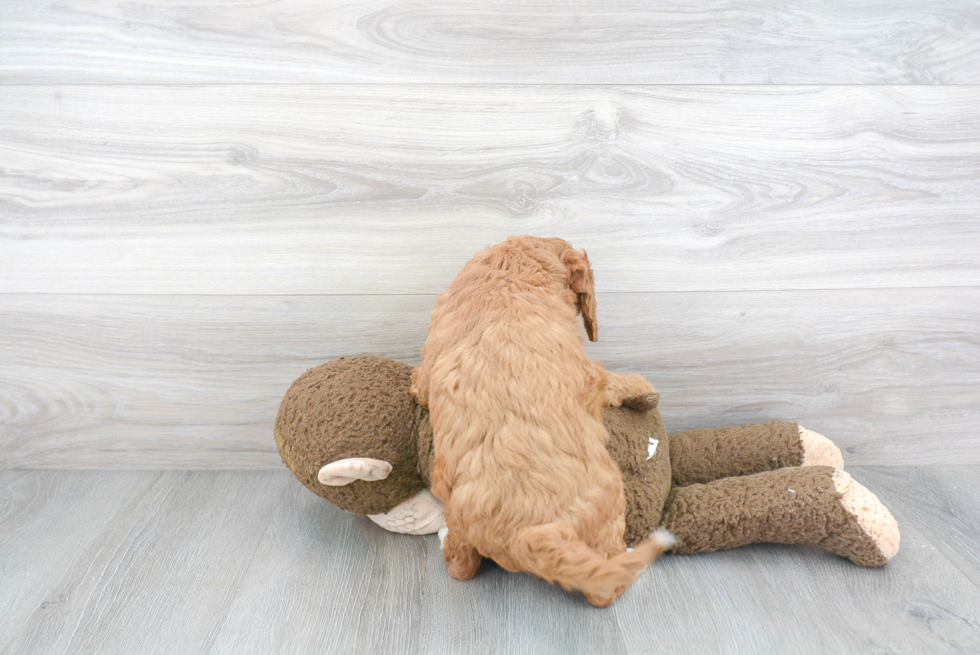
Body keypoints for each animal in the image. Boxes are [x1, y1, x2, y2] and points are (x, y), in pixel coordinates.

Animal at [410, 237, 668, 608]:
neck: (509, 272)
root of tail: (527, 533)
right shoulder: (591, 374)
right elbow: (612, 380)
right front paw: (641, 386)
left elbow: (420, 381)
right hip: (607, 504)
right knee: (604, 584)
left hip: (454, 504)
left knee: (461, 565)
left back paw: (447, 542)